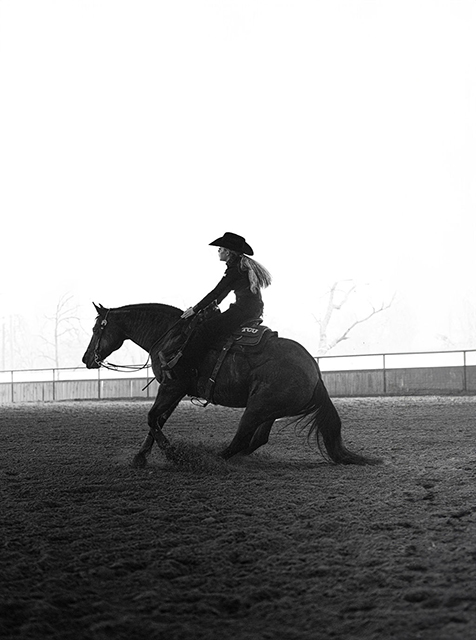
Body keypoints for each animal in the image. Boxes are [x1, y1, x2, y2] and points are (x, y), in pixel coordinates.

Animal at [82, 302, 380, 468]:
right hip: (267, 410)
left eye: (97, 329)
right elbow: (157, 421)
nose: (86, 358)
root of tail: (315, 373)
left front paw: (174, 455)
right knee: (256, 439)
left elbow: (152, 418)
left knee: (241, 439)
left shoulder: (172, 387)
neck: (171, 336)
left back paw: (209, 458)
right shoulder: (173, 391)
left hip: (257, 408)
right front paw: (140, 458)